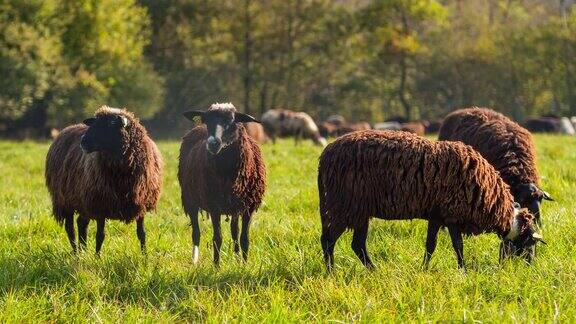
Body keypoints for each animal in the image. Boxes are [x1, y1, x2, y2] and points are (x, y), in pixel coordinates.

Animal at [179, 102, 266, 266]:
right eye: (207, 121)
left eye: (231, 122)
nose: (213, 143)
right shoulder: (214, 205)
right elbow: (217, 238)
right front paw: (216, 266)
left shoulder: (248, 206)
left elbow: (244, 238)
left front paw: (244, 265)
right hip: (189, 198)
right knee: (196, 233)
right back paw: (194, 261)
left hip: (234, 206)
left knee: (234, 232)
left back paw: (237, 258)